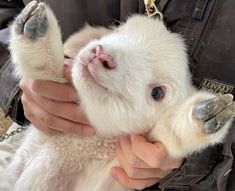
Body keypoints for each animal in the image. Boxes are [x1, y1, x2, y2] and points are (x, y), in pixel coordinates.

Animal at [0, 0, 234, 190]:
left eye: (157, 92)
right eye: (120, 30)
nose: (102, 55)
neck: (84, 143)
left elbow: (169, 133)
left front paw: (204, 114)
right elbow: (46, 72)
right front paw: (35, 27)